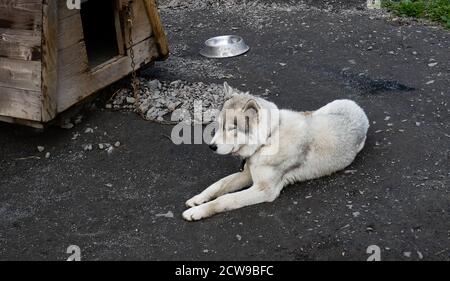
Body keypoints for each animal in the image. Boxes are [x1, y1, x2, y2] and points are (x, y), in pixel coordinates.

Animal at [183, 83, 370, 221]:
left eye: (232, 129)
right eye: (219, 125)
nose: (211, 147)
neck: (268, 138)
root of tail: (359, 108)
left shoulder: (264, 190)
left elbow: (225, 199)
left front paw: (198, 212)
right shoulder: (247, 174)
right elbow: (218, 185)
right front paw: (198, 199)